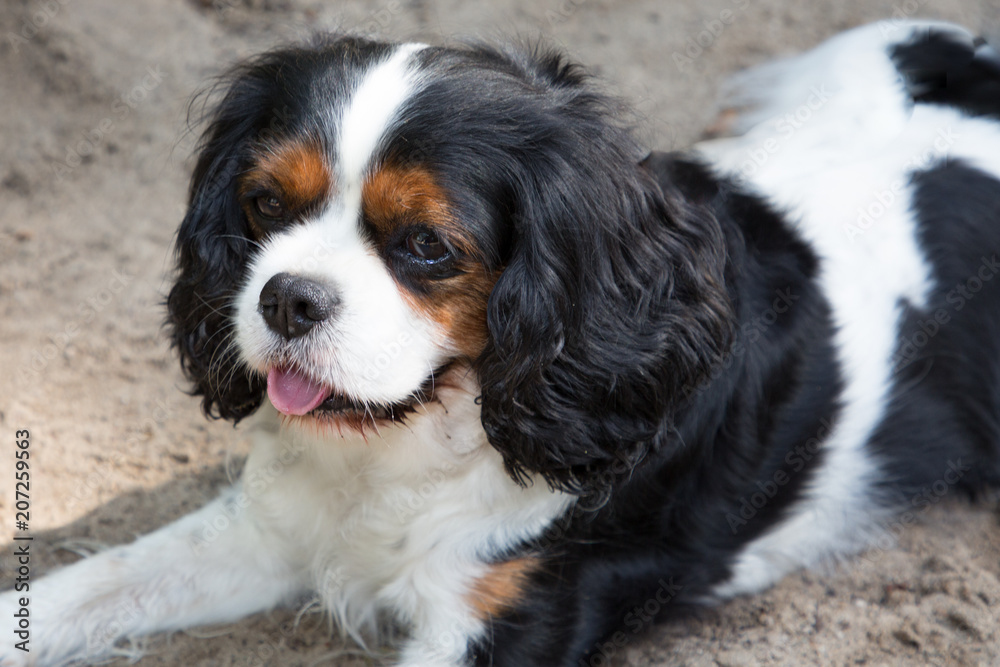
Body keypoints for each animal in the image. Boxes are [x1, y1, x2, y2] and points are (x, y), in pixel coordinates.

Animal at [5, 18, 1000, 664]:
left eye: (426, 245)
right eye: (264, 204)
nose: (287, 298)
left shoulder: (502, 615)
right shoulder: (264, 528)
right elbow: (92, 583)